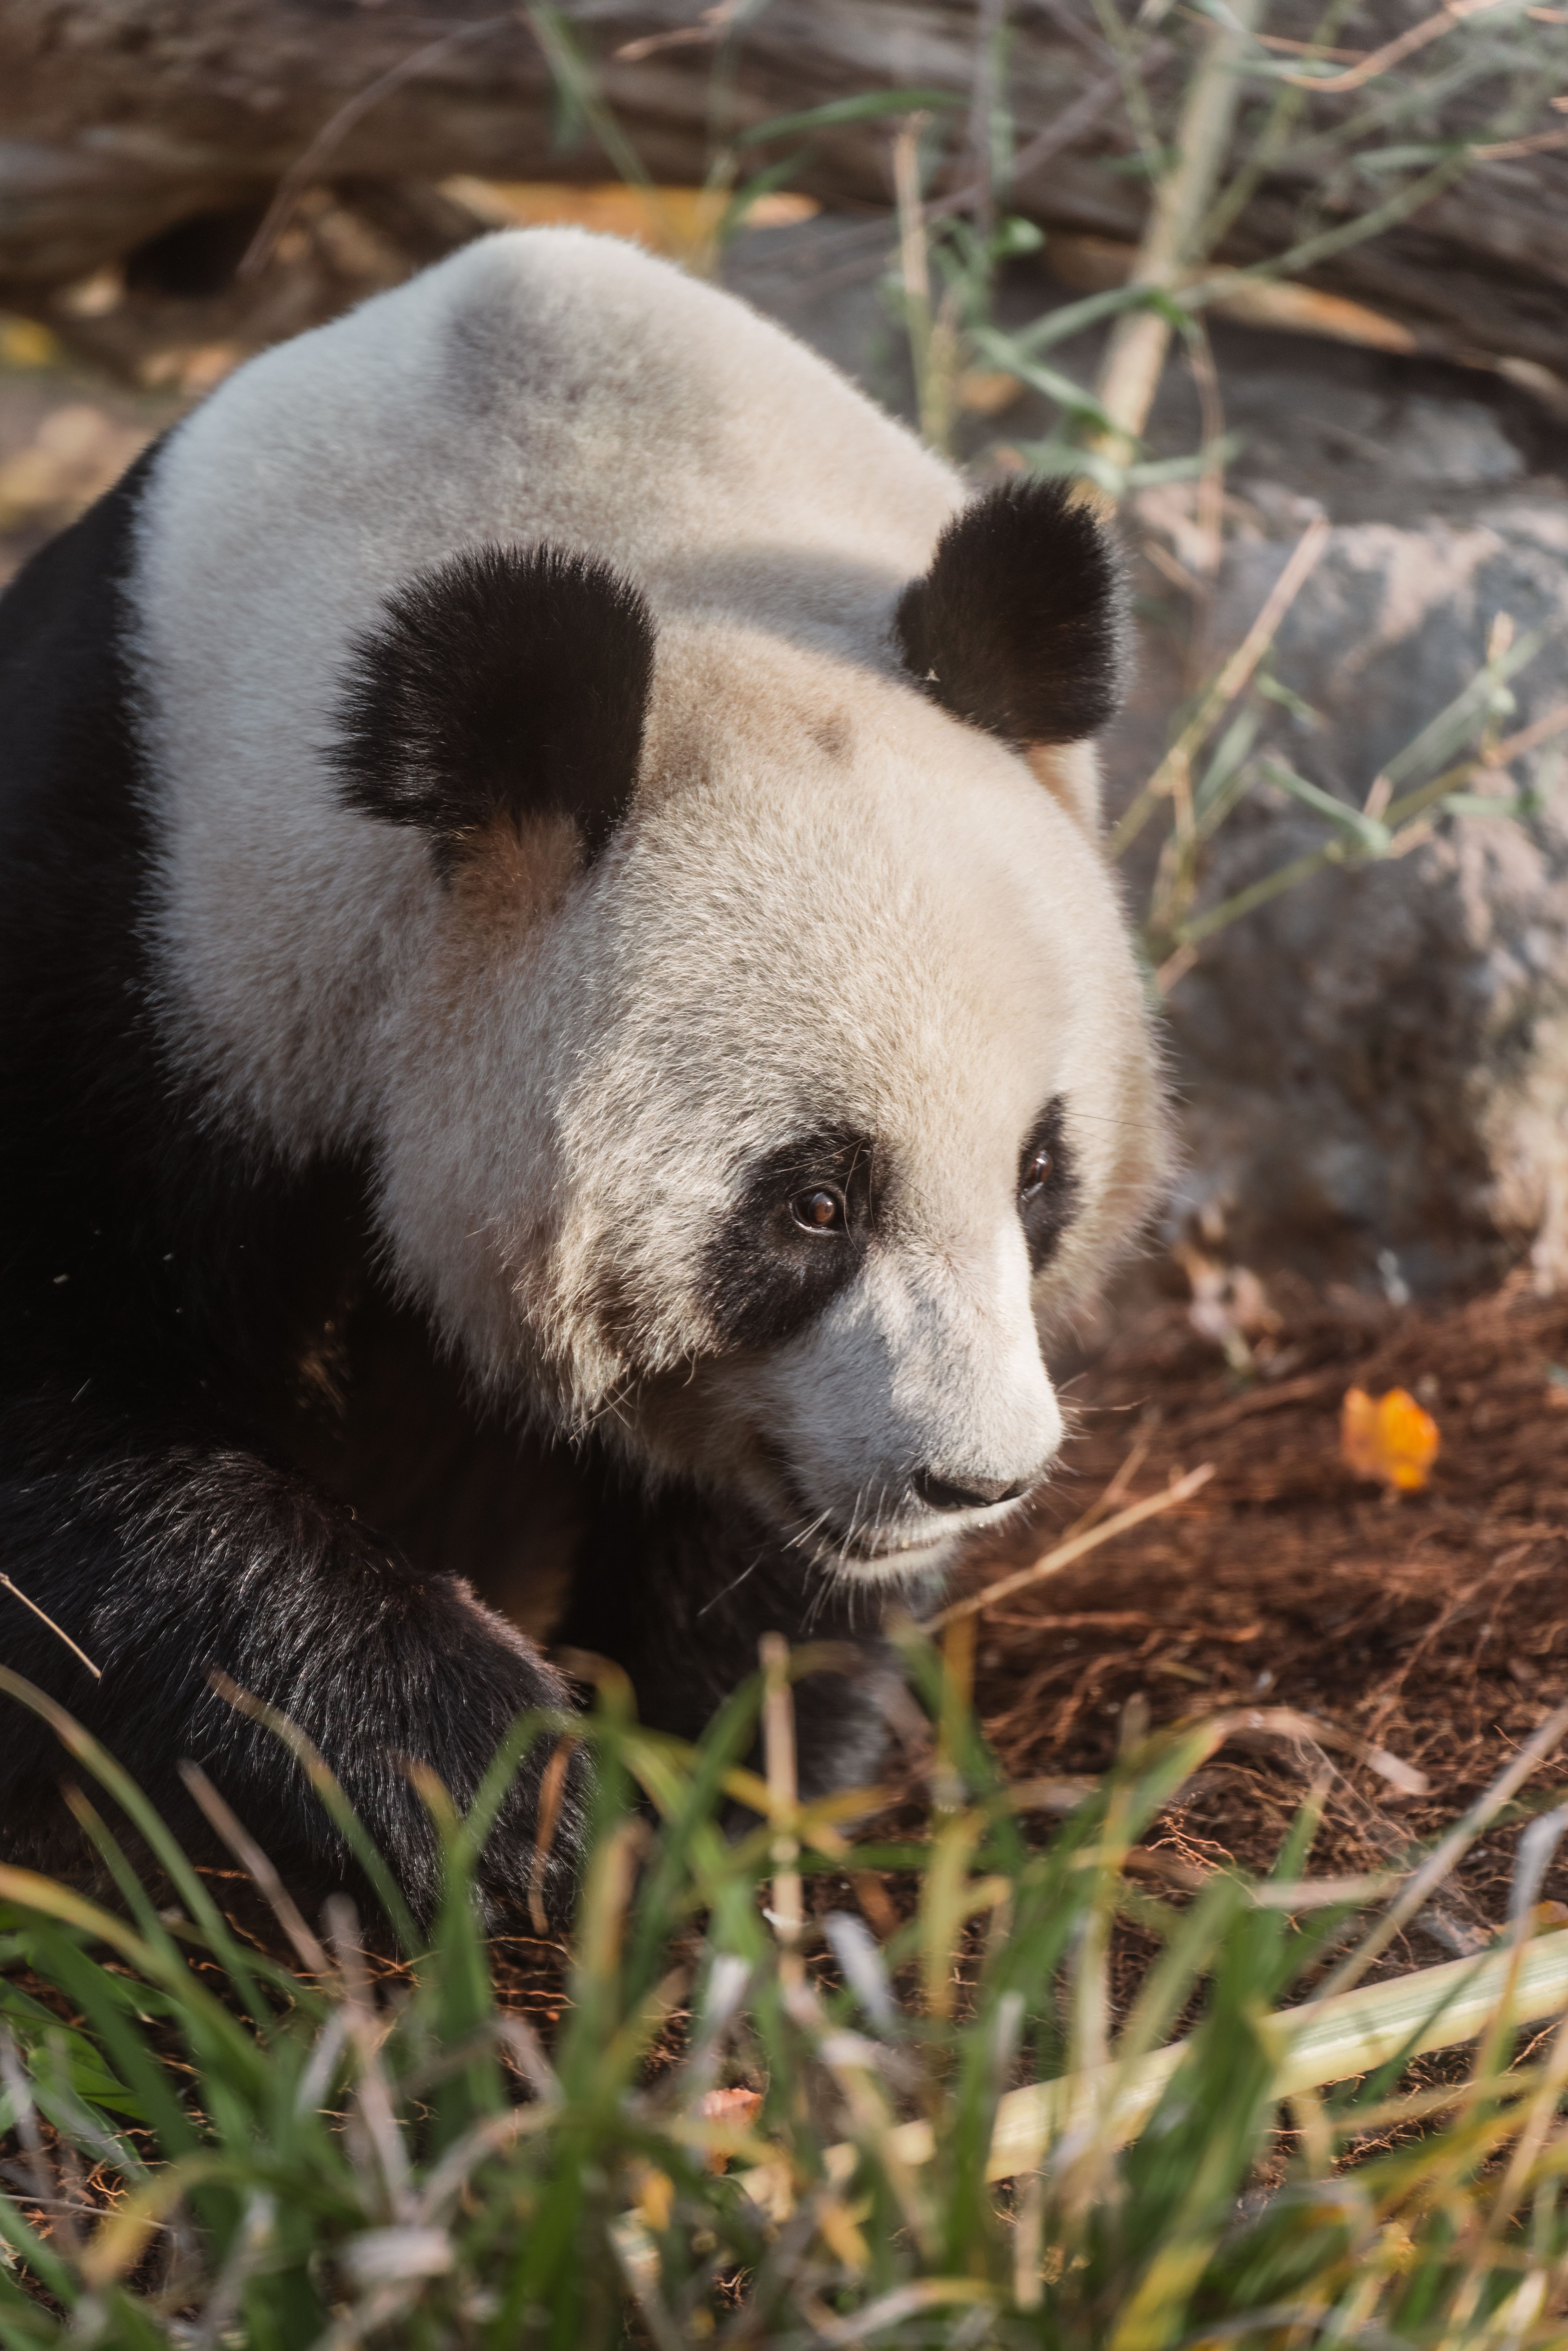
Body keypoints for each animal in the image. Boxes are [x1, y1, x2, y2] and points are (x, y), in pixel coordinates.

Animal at [0, 228, 1163, 1924]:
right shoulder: (136, 919)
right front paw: (500, 1784)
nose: (972, 1479)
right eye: (811, 1203)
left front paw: (724, 1781)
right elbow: (76, 1436)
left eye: (1036, 1175)